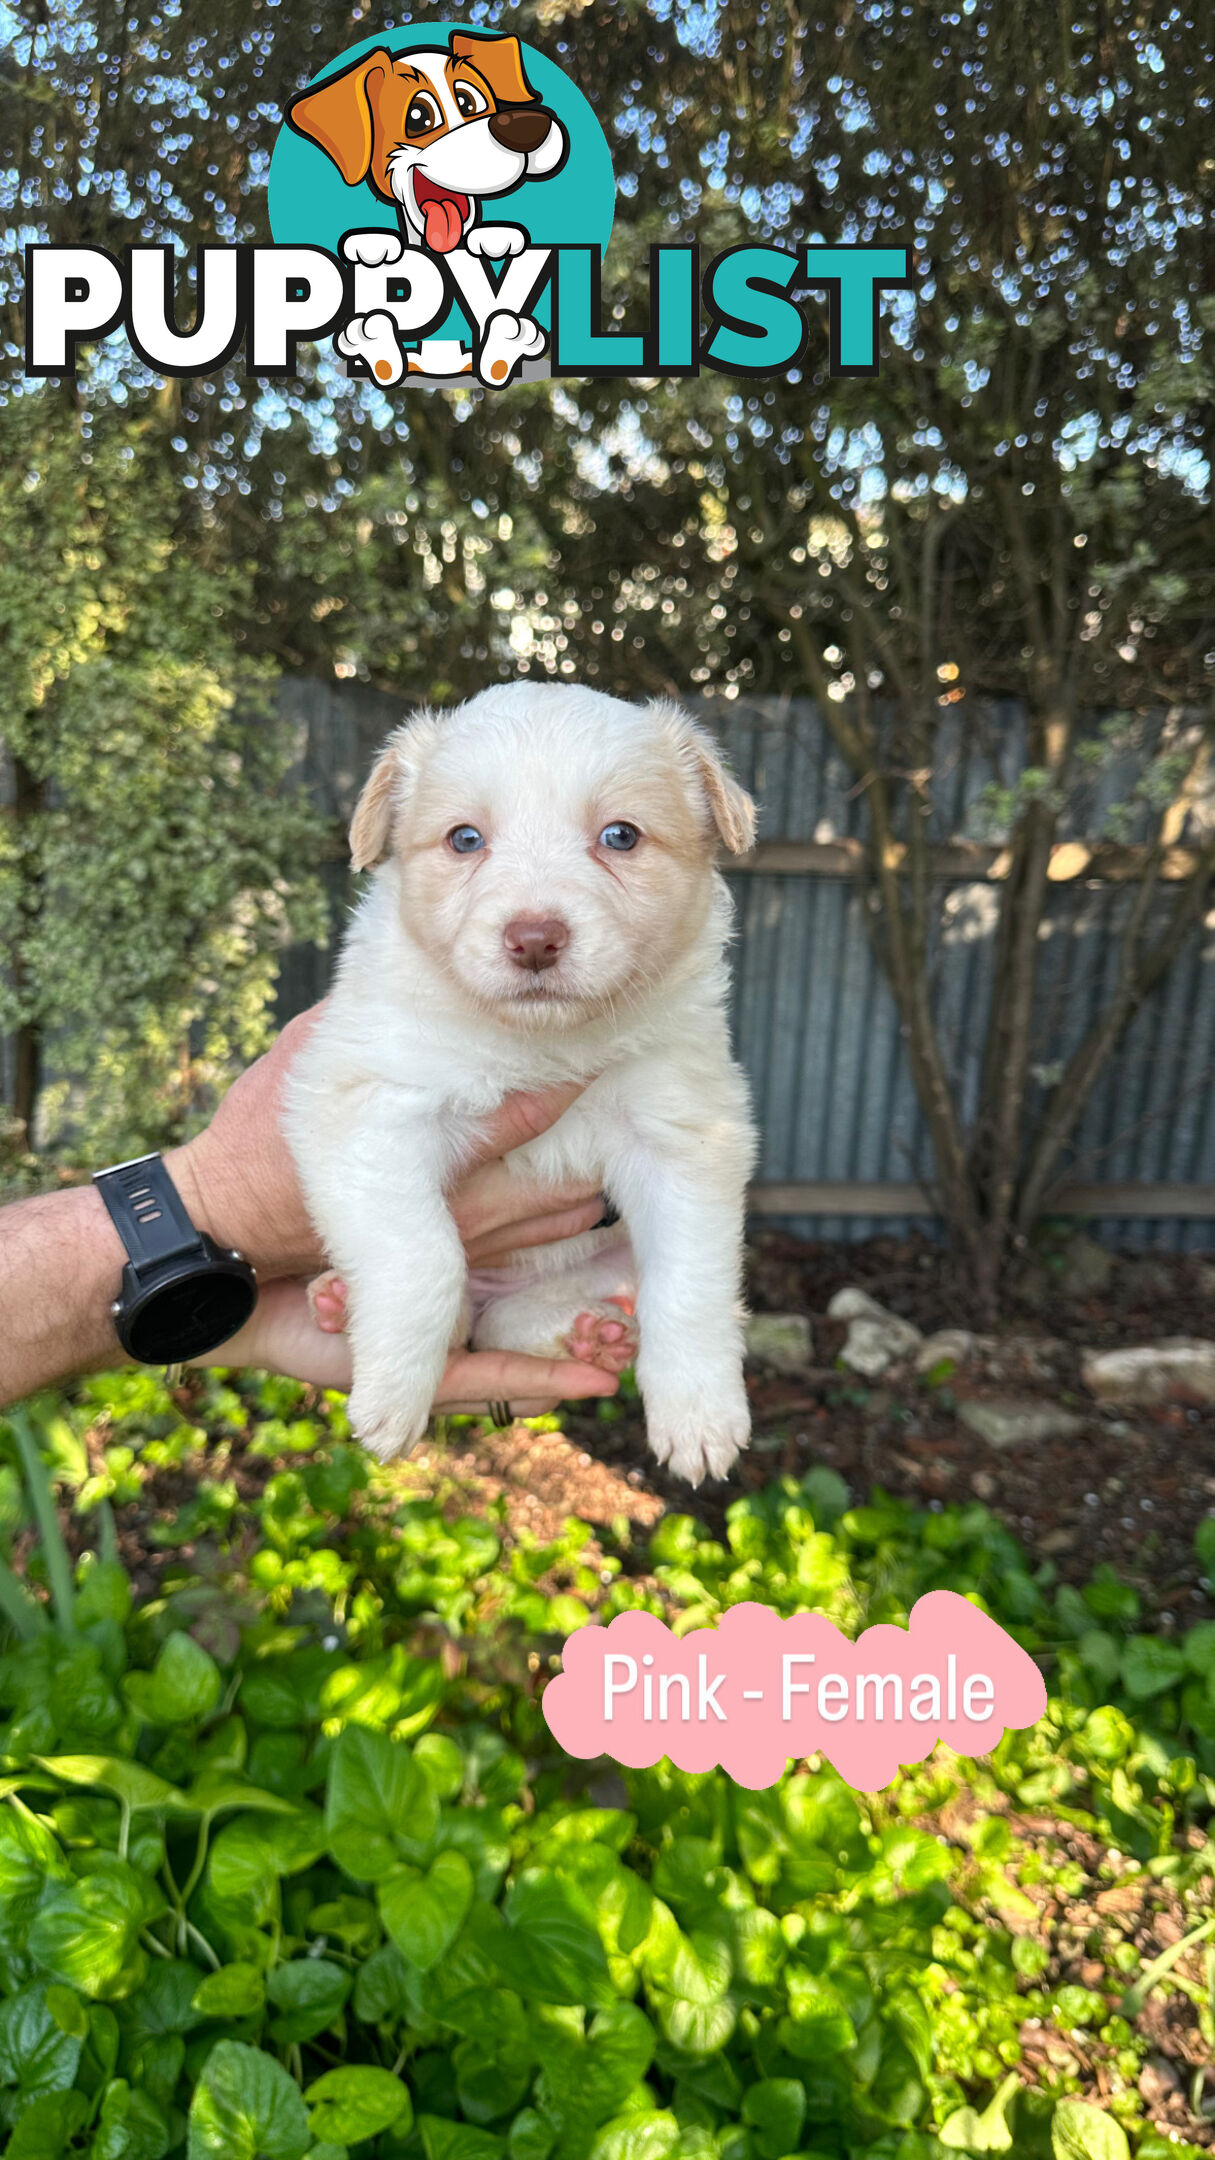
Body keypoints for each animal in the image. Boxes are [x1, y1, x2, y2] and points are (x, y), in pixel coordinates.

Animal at [283, 678, 756, 1486]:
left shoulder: (686, 1134)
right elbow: (424, 1255)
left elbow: (690, 1283)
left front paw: (699, 1416)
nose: (534, 939)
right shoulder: (370, 1103)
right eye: (464, 840)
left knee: (517, 1318)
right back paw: (340, 1302)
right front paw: (391, 1396)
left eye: (620, 836)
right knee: (465, 1314)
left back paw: (589, 1333)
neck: (540, 1045)